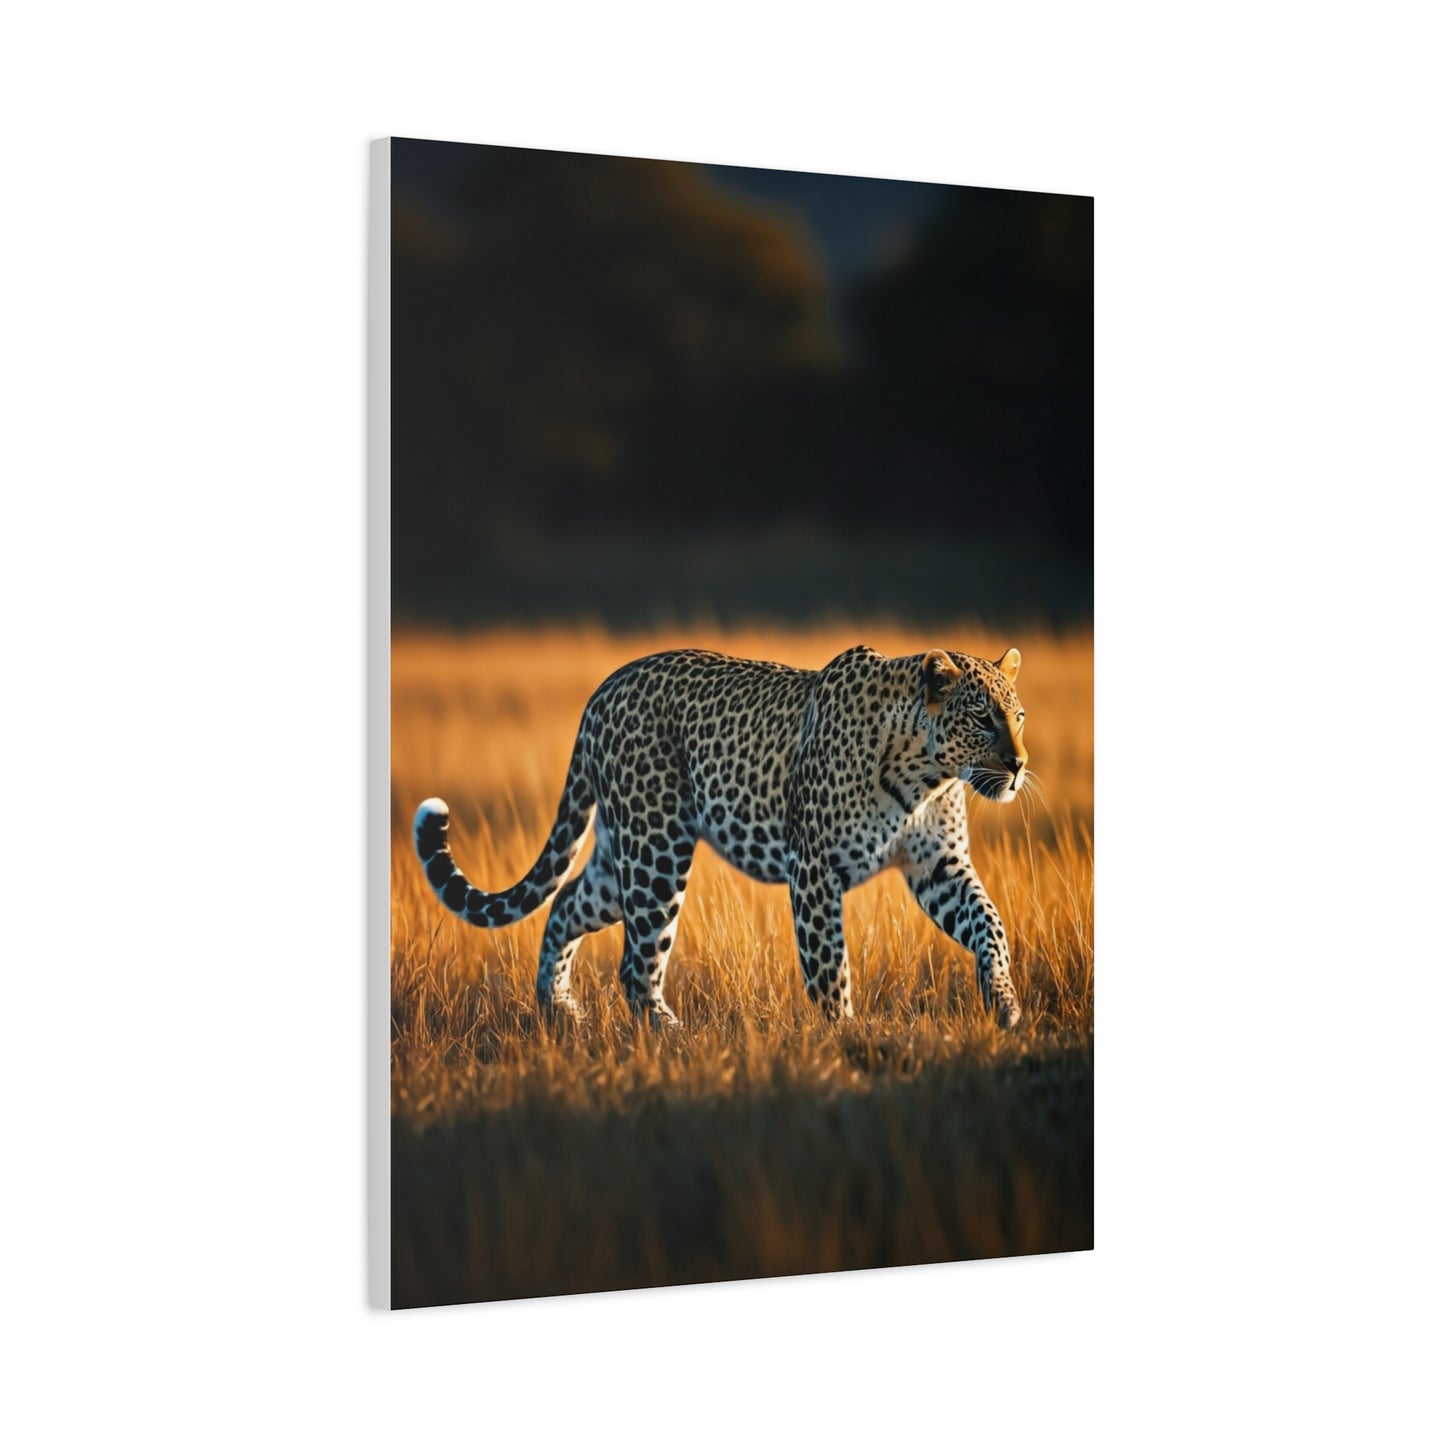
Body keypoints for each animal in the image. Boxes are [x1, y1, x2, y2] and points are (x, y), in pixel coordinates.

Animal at [413, 643, 1030, 1030]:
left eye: (1019, 716)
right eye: (982, 718)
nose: (1020, 764)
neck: (926, 774)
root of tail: (602, 690)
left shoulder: (940, 867)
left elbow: (989, 923)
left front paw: (1003, 1000)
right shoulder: (813, 869)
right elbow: (829, 965)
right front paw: (847, 1037)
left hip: (621, 858)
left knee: (565, 903)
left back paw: (559, 1010)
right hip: (657, 848)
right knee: (635, 965)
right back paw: (672, 1037)